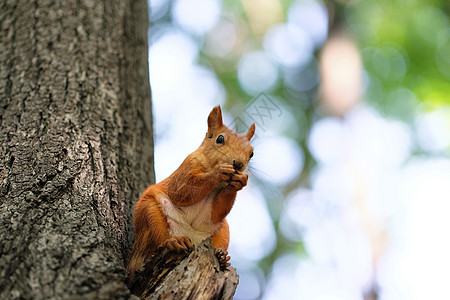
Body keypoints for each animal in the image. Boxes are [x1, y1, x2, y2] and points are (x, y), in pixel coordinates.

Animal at [126, 106, 255, 276]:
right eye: (220, 139)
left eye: (252, 153)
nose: (239, 164)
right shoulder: (186, 167)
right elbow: (181, 191)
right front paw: (218, 172)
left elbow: (217, 212)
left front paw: (240, 181)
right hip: (149, 214)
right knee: (157, 240)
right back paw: (174, 241)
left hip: (222, 231)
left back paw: (222, 257)